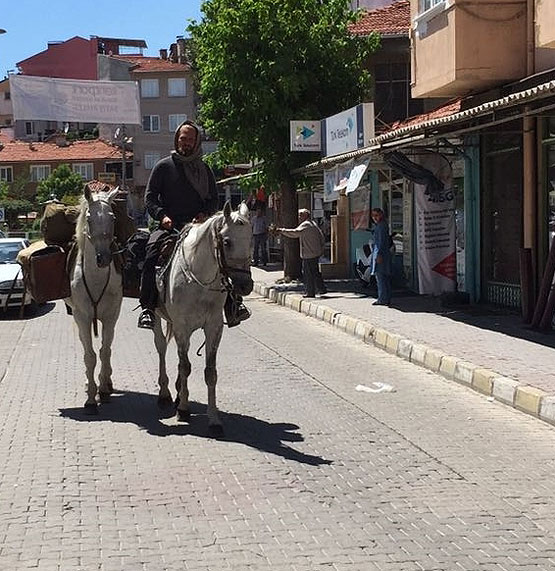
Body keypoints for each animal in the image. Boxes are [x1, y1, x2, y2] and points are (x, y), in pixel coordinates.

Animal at [65, 183, 124, 412]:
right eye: (89, 219)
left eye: (113, 218)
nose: (103, 258)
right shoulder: (82, 316)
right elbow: (89, 356)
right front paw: (91, 398)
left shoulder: (111, 316)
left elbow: (105, 351)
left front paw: (104, 389)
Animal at [154, 202, 254, 438]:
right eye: (226, 242)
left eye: (250, 239)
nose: (246, 285)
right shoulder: (182, 327)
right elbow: (185, 366)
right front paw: (183, 410)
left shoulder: (214, 328)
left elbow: (210, 372)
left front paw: (214, 420)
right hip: (157, 317)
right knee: (161, 347)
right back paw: (165, 394)